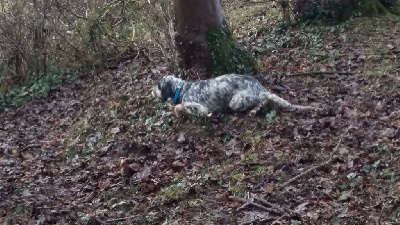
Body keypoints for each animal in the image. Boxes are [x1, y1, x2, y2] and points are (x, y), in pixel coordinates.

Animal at [152, 74, 320, 118]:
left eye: (159, 86)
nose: (151, 90)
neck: (182, 88)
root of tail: (259, 87)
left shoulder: (200, 108)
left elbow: (180, 107)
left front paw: (177, 110)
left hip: (236, 101)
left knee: (263, 100)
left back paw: (253, 111)